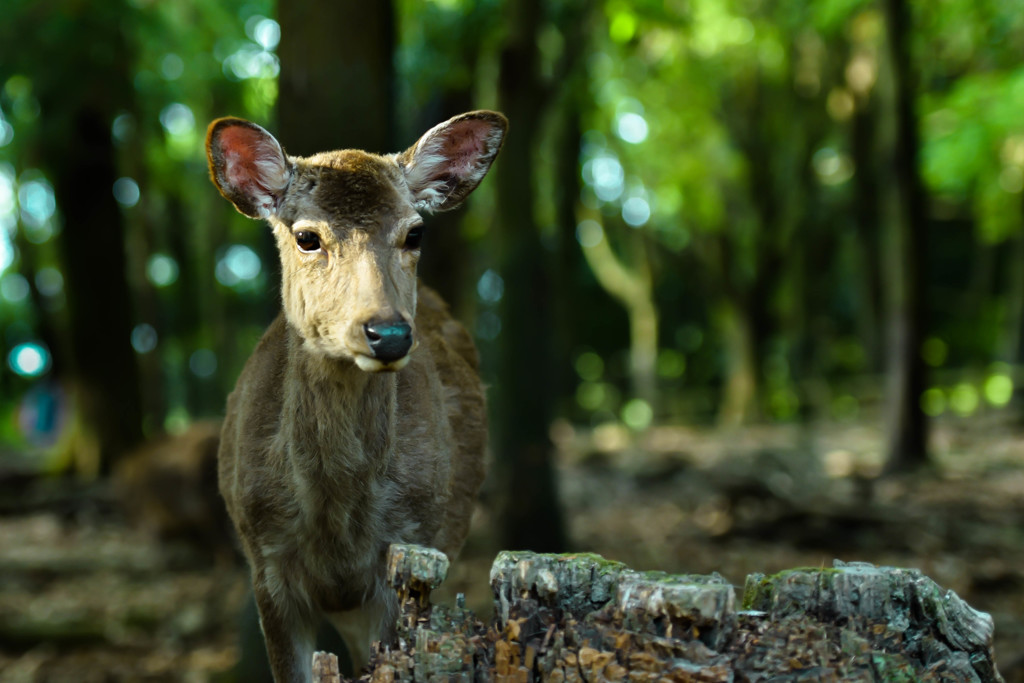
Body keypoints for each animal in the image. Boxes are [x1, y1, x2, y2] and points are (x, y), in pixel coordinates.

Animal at [205, 109, 509, 679]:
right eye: (306, 237)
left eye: (415, 232)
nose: (387, 333)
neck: (336, 514)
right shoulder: (265, 560)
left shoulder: (410, 550)